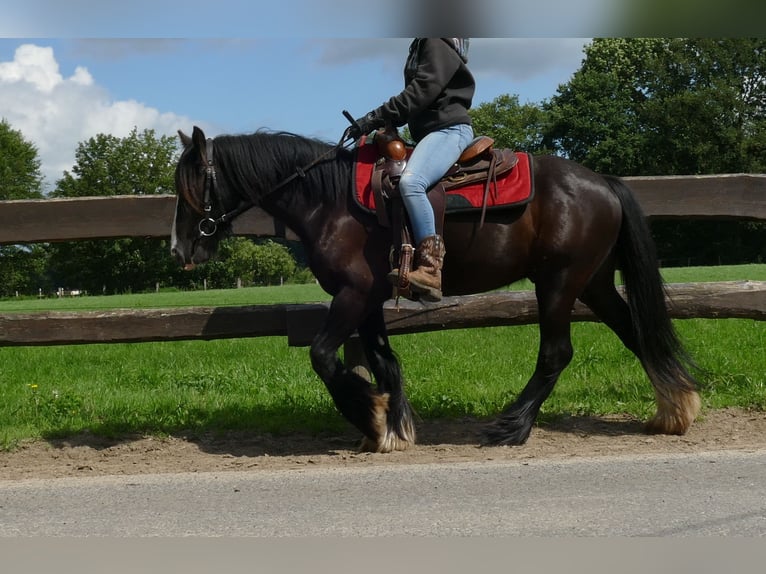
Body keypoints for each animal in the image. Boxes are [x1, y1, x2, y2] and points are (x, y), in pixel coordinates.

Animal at [170, 125, 704, 454]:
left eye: (190, 185)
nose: (179, 249)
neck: (330, 201)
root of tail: (604, 183)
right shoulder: (369, 300)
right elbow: (384, 360)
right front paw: (392, 427)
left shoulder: (352, 294)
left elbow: (323, 356)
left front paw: (371, 416)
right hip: (592, 284)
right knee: (636, 333)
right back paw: (676, 409)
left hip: (558, 284)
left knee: (556, 352)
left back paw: (512, 426)